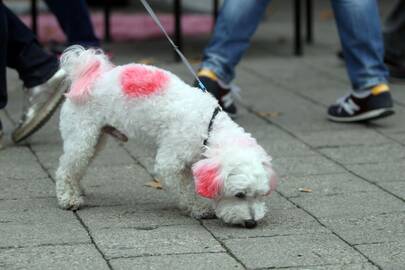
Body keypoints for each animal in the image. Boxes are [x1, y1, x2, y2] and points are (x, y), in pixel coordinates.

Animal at [55, 46, 276, 228]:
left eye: (260, 195)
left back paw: (77, 190)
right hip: (82, 137)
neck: (208, 126)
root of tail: (87, 77)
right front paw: (198, 208)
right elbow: (184, 190)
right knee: (64, 169)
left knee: (76, 168)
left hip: (96, 139)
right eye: (239, 195)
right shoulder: (169, 163)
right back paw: (68, 198)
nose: (251, 223)